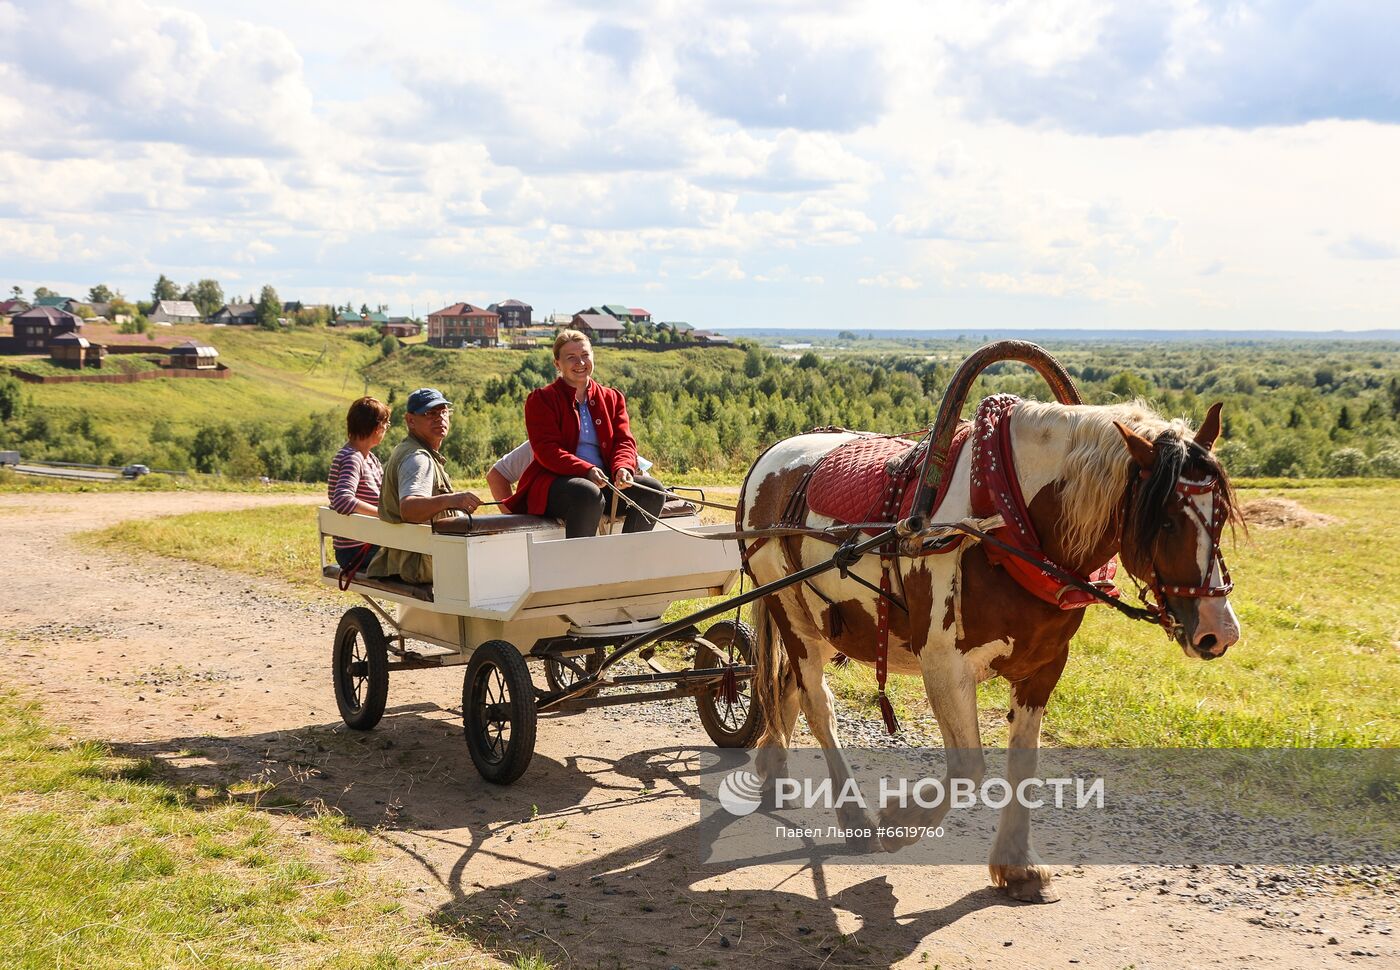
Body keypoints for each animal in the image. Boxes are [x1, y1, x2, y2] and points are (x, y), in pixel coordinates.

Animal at [739, 394, 1243, 901]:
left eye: (1219, 514)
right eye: (1165, 521)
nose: (1218, 632)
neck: (1004, 525)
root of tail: (771, 455)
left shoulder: (1045, 665)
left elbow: (1024, 760)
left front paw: (1017, 863)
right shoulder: (943, 663)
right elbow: (969, 768)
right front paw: (901, 820)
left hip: (822, 622)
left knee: (788, 684)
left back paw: (774, 769)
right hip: (785, 603)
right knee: (818, 704)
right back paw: (855, 815)